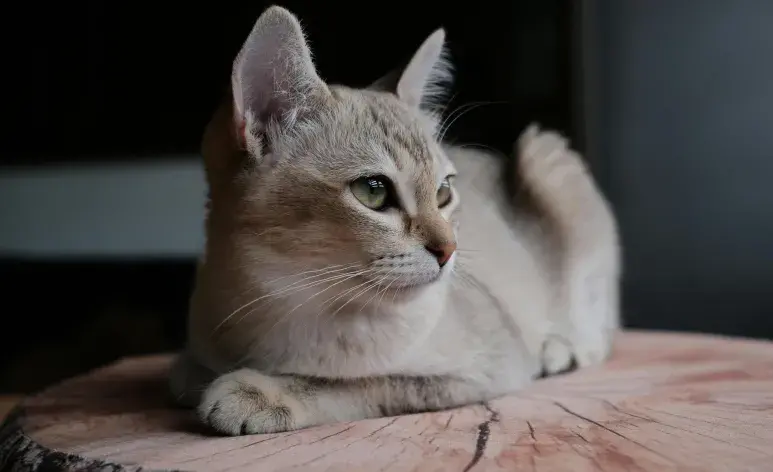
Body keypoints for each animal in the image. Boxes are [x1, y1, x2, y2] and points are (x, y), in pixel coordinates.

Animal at [169, 5, 620, 436]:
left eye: (443, 192)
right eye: (373, 190)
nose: (449, 250)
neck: (287, 304)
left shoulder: (491, 365)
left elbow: (353, 383)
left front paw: (260, 392)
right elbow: (185, 373)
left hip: (545, 155)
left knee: (599, 328)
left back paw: (560, 348)